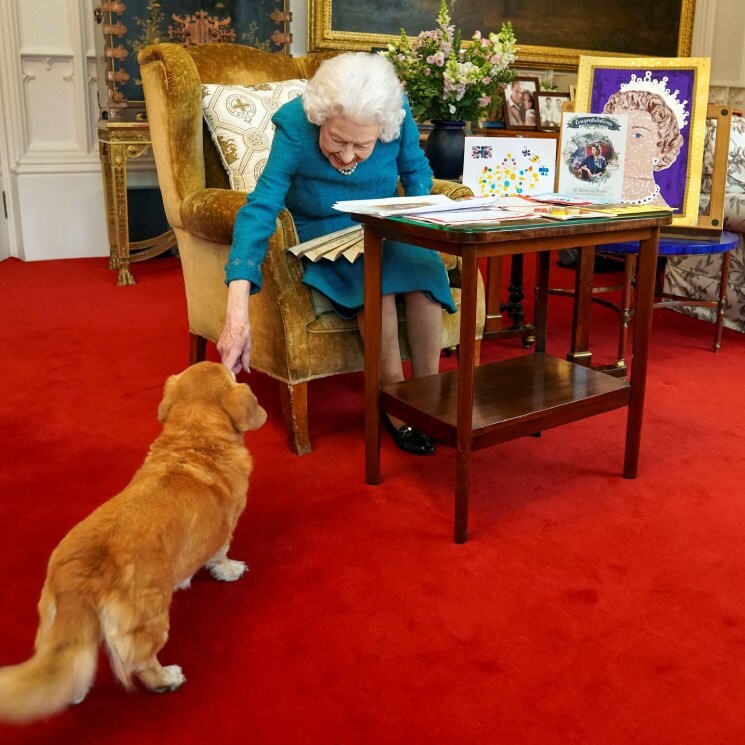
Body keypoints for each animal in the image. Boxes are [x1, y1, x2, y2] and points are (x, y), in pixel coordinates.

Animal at [0, 360, 266, 720]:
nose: (230, 360)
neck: (193, 441)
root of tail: (81, 574)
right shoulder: (225, 529)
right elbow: (220, 555)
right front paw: (230, 570)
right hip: (150, 620)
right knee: (142, 663)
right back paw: (168, 679)